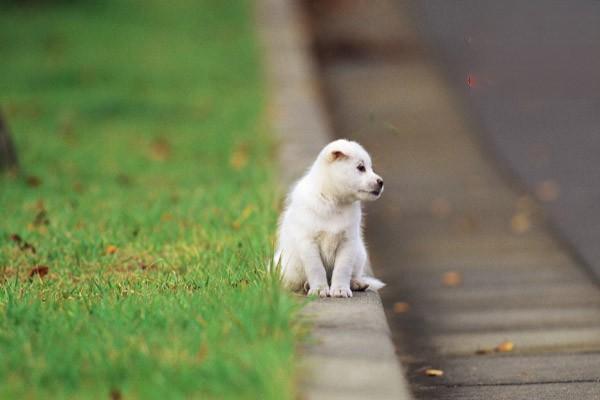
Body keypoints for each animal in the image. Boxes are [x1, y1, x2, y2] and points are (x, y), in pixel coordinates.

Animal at [276, 139, 384, 296]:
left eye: (370, 168)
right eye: (361, 167)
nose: (381, 182)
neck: (333, 202)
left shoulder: (347, 243)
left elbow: (342, 269)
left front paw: (340, 289)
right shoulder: (309, 243)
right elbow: (316, 269)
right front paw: (319, 288)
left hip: (359, 254)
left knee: (354, 274)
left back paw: (357, 283)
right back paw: (307, 285)